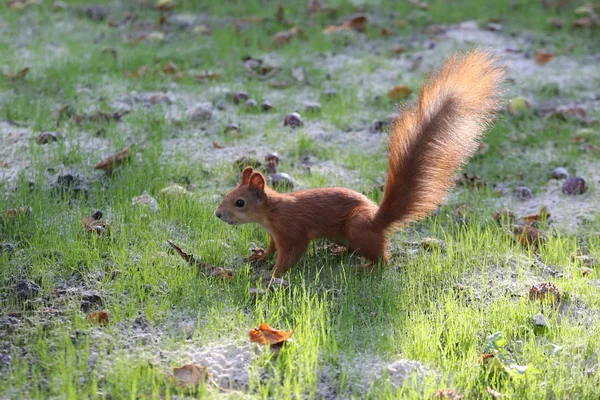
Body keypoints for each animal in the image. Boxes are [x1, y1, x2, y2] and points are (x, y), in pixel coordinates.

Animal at [213, 50, 504, 278]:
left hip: (356, 228)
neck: (271, 213)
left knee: (383, 260)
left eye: (240, 202)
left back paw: (365, 268)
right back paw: (338, 252)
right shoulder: (274, 235)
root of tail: (378, 221)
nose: (217, 214)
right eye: (228, 194)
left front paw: (273, 277)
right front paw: (261, 257)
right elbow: (272, 249)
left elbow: (290, 256)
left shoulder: (292, 232)